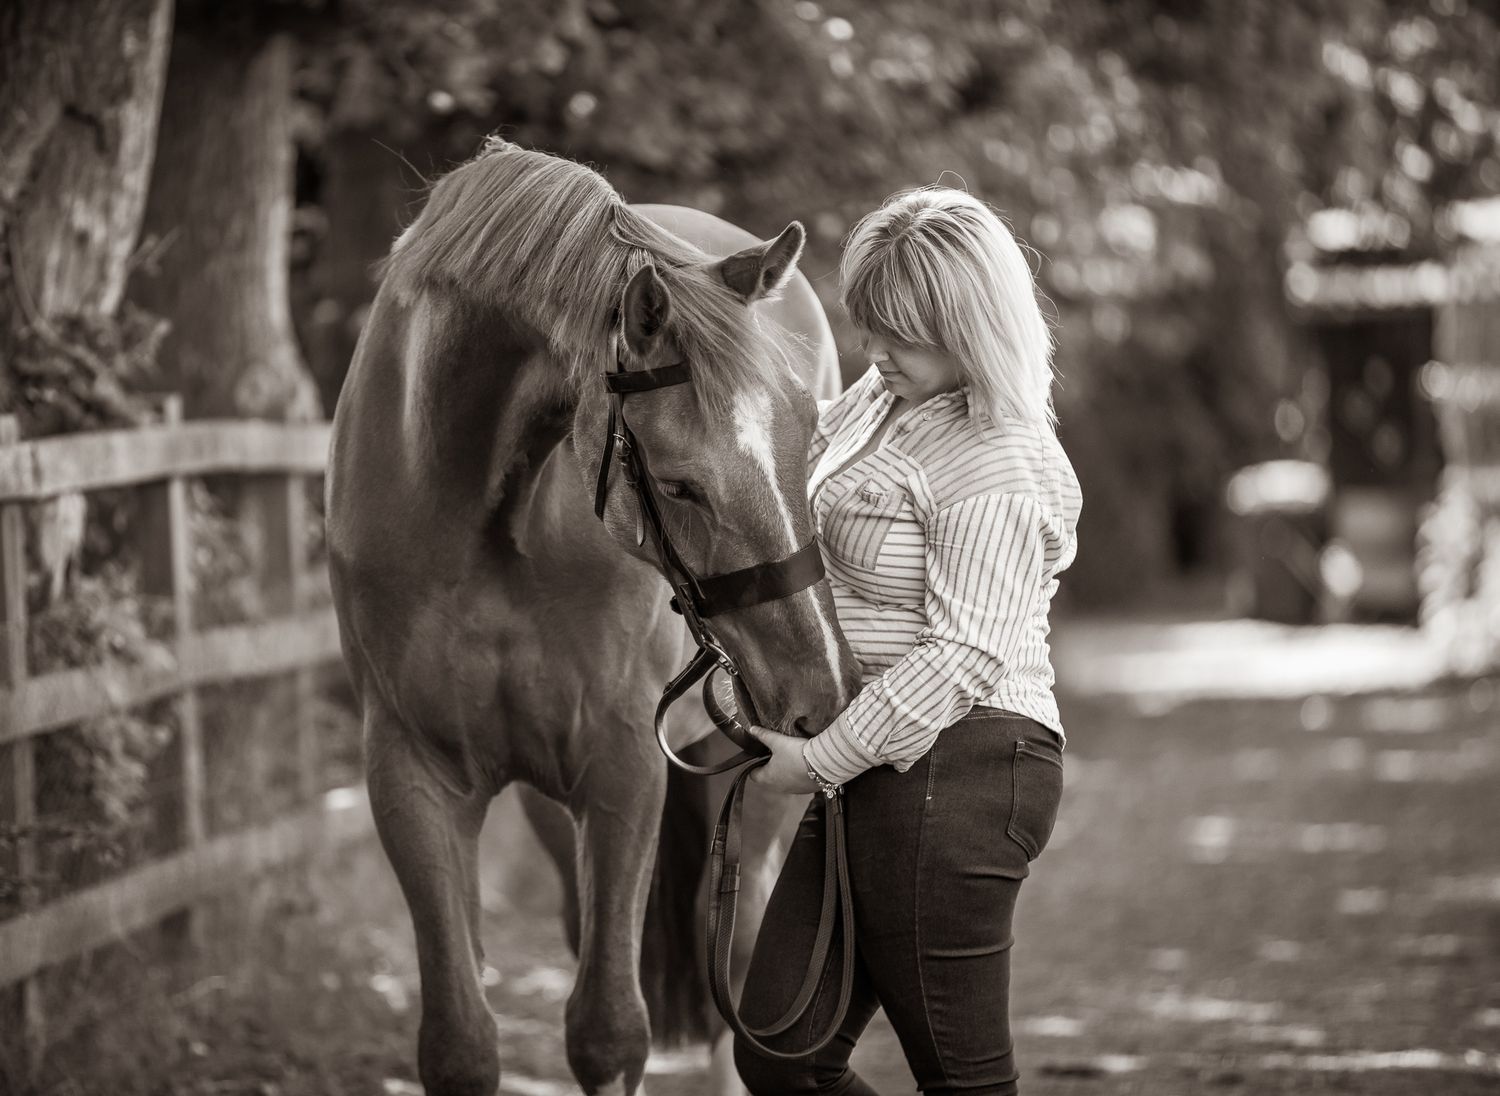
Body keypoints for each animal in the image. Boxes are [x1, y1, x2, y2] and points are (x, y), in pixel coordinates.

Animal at [325, 137, 862, 1096]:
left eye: (811, 444)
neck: (476, 509)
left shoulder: (623, 767)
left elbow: (610, 1031)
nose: (825, 690)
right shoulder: (411, 775)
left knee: (738, 958)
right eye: (680, 485)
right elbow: (460, 1043)